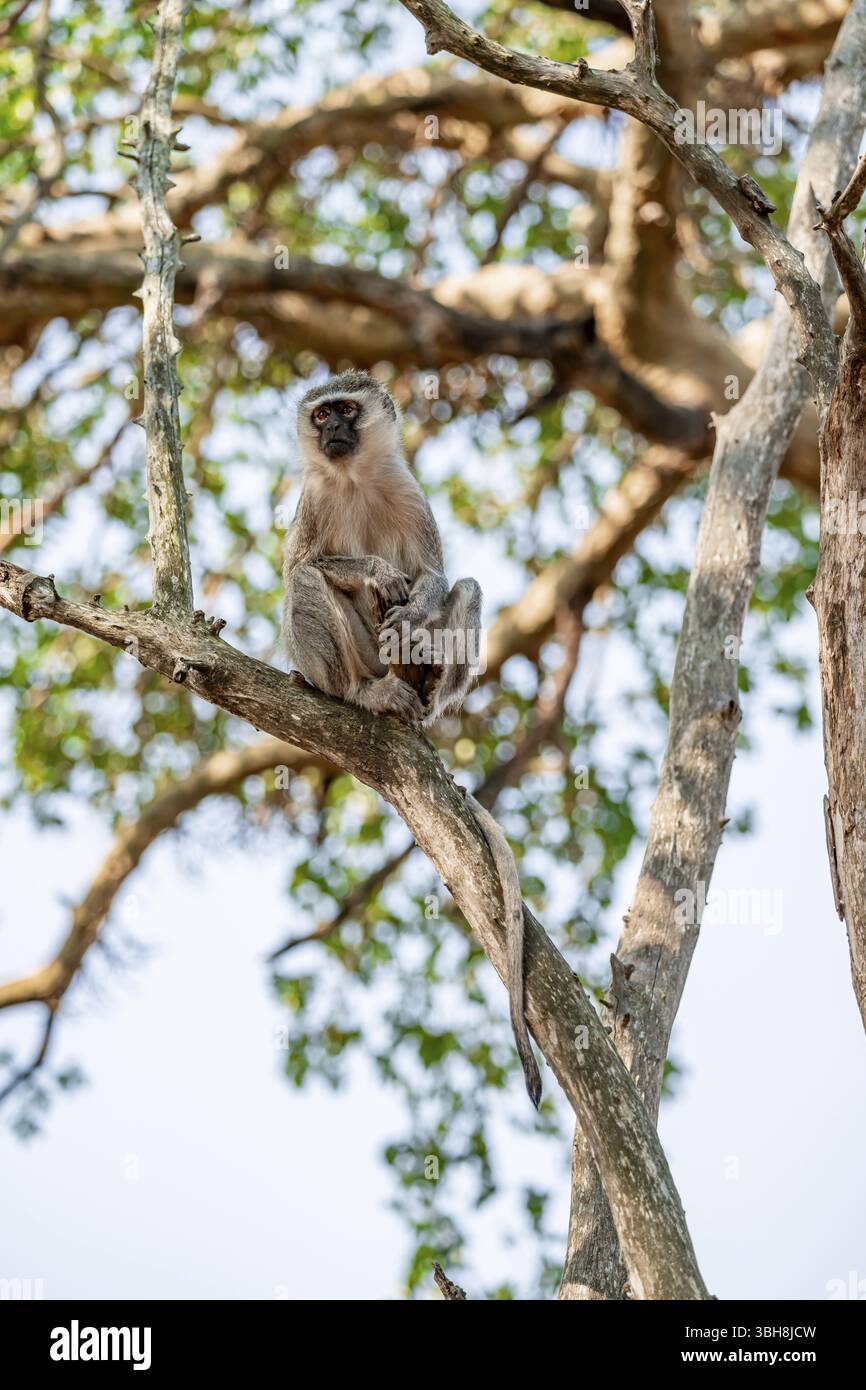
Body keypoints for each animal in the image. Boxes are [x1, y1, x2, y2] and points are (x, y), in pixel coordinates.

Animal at [282, 371, 542, 1107]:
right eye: (322, 415)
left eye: (347, 410)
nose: (335, 432)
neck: (354, 478)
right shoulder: (312, 502)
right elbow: (306, 564)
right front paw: (373, 571)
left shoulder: (409, 492)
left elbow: (433, 573)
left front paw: (417, 604)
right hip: (348, 662)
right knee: (306, 583)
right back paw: (362, 694)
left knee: (467, 589)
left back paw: (423, 688)